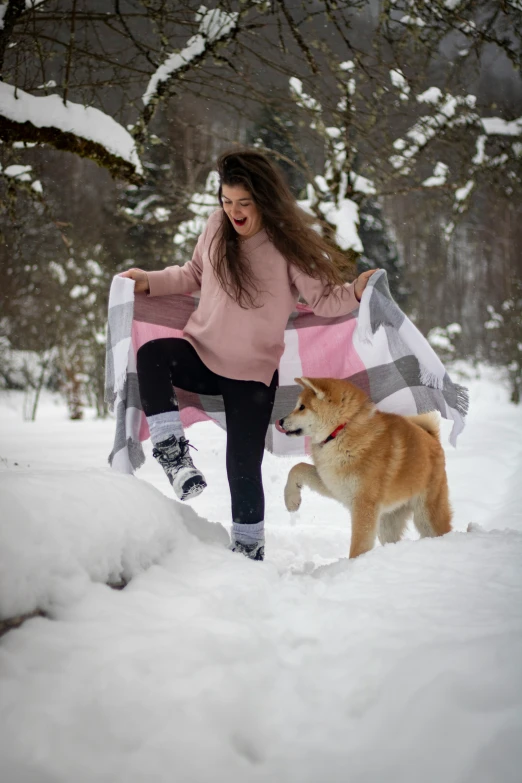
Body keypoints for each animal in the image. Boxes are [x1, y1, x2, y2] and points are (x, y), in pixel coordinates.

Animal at [278, 378, 448, 556]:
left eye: (302, 407)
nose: (280, 421)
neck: (340, 432)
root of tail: (432, 437)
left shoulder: (364, 504)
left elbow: (359, 545)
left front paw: (353, 562)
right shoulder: (333, 483)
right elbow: (298, 468)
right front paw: (291, 500)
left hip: (426, 515)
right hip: (388, 521)